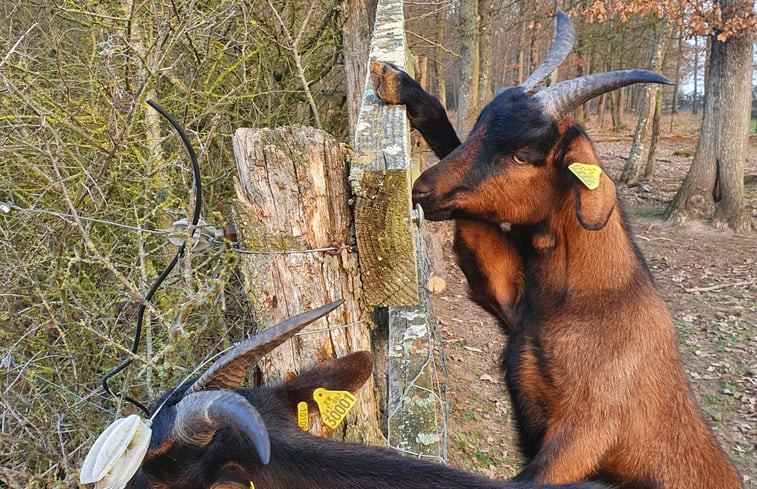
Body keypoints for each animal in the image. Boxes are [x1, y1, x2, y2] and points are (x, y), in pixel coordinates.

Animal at [370, 11, 740, 488]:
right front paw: (398, 84)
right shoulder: (505, 294)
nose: (421, 190)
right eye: (480, 129)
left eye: (523, 155)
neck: (590, 298)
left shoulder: (585, 432)